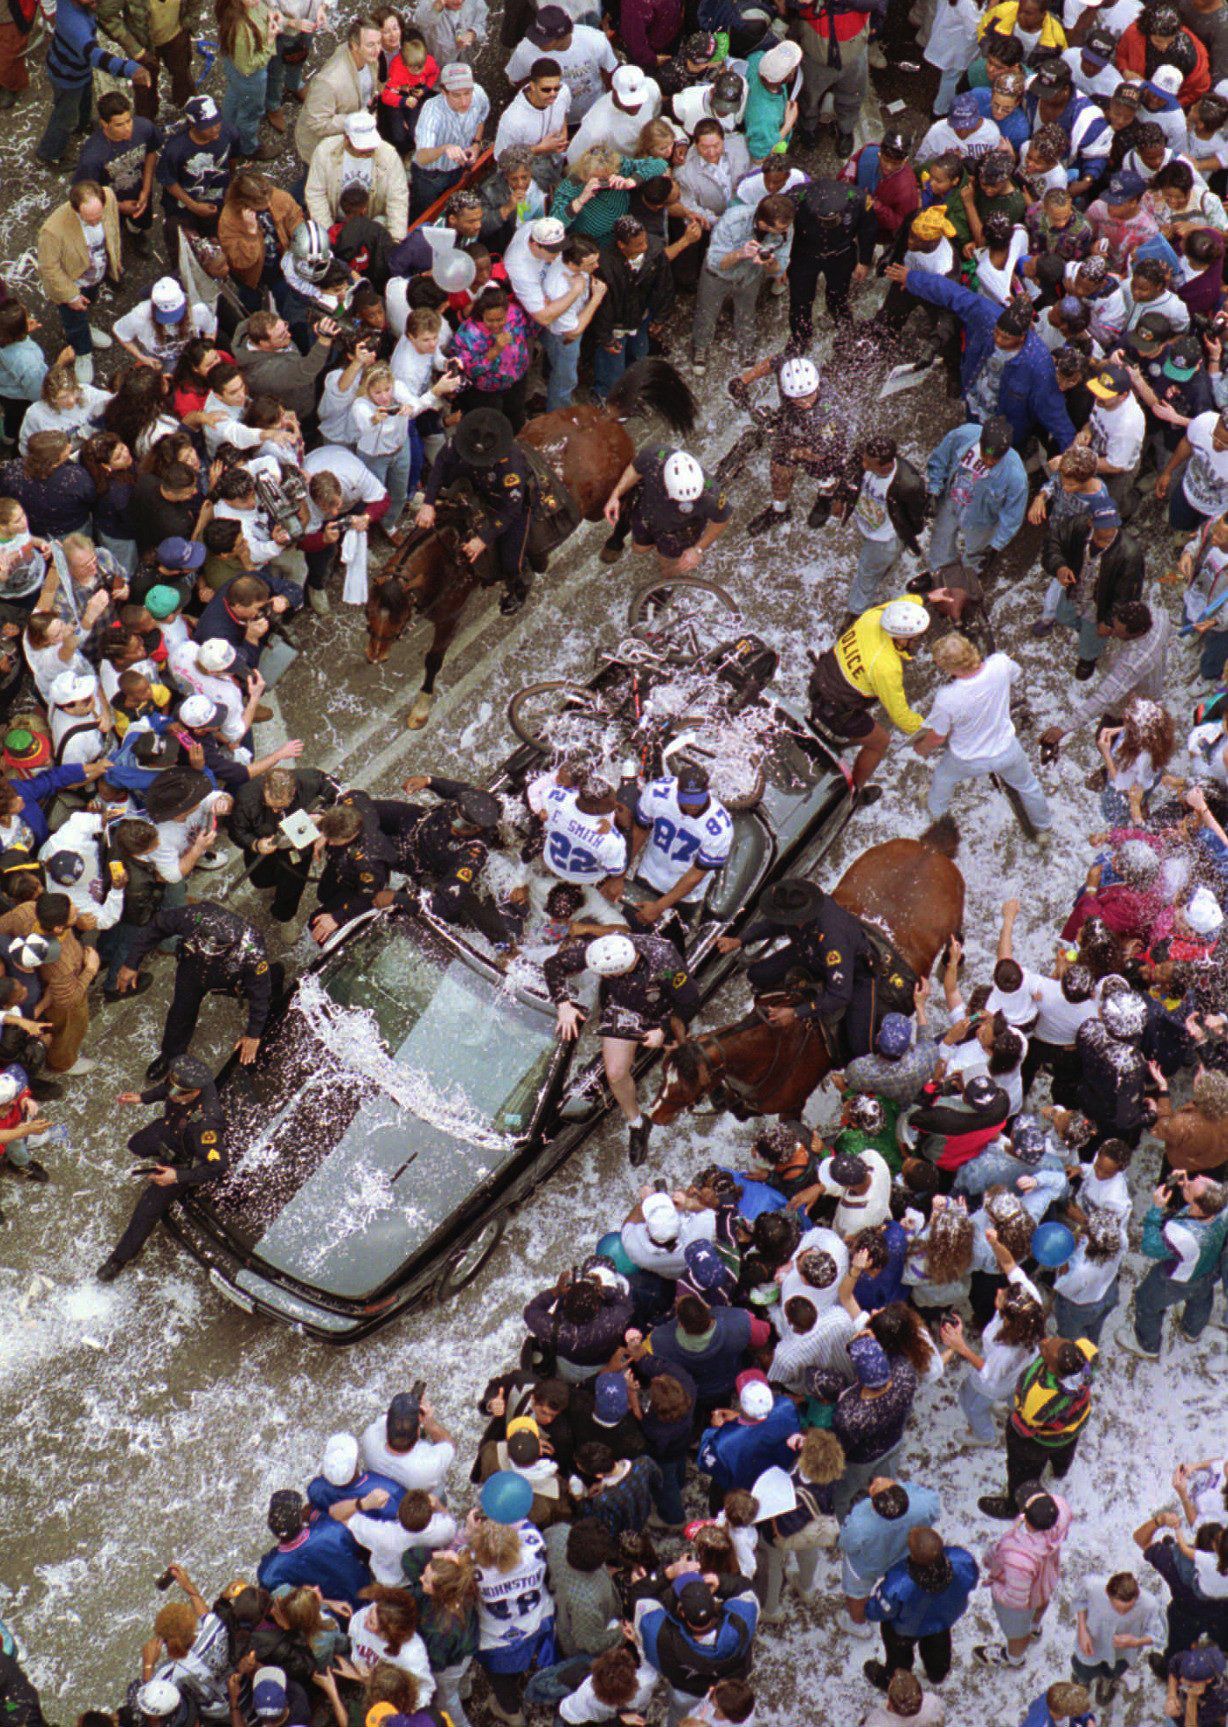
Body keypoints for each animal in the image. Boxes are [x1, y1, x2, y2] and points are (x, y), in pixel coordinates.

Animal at [362, 357, 690, 721]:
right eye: (368, 611)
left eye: (397, 612)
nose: (375, 655)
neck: (445, 558)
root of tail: (606, 416)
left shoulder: (451, 614)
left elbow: (434, 658)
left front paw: (421, 706)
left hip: (600, 501)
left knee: (627, 500)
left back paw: (614, 544)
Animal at [649, 815, 967, 1126]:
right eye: (664, 1072)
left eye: (686, 1086)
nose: (654, 1114)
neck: (770, 1053)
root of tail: (930, 850)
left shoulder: (792, 1107)